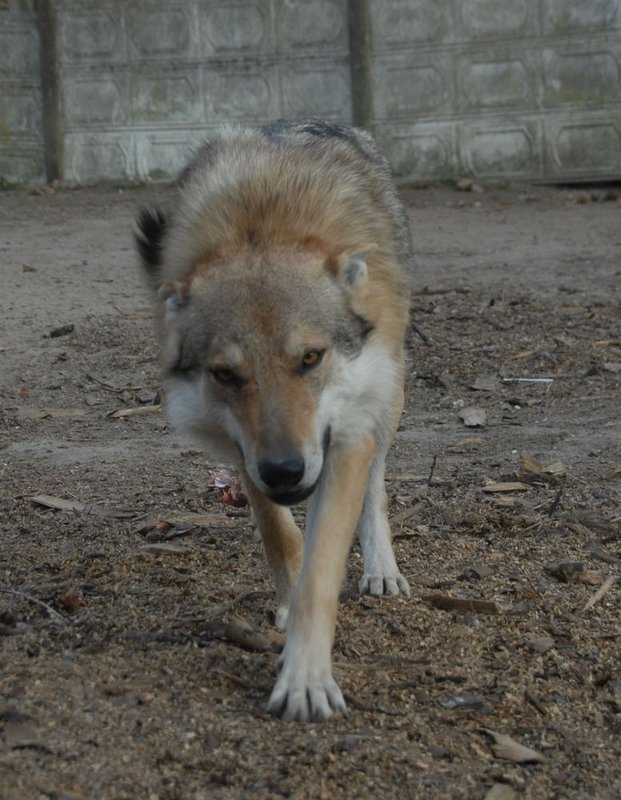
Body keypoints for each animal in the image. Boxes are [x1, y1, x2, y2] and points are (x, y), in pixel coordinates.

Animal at [134, 119, 413, 721]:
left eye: (310, 358)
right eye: (225, 374)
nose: (285, 470)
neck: (260, 226)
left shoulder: (348, 437)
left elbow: (322, 568)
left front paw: (305, 678)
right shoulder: (243, 450)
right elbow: (281, 540)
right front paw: (287, 613)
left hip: (389, 396)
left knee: (378, 486)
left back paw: (381, 568)